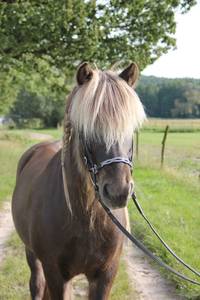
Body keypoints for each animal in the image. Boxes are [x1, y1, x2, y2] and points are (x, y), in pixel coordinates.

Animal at [12, 62, 145, 298]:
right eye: (86, 128)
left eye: (130, 129)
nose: (118, 191)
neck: (86, 217)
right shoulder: (56, 274)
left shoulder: (105, 276)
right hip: (32, 255)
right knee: (37, 285)